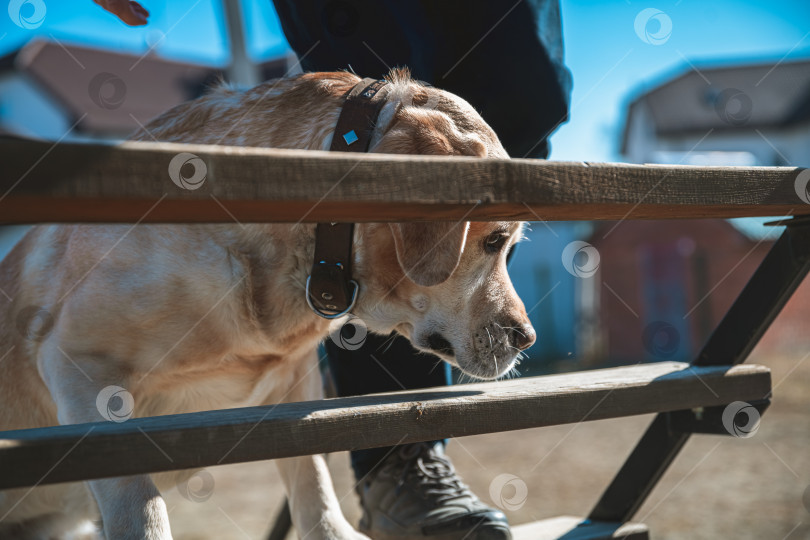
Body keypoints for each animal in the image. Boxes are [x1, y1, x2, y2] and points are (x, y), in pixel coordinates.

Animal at [0, 69, 532, 536]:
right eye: (495, 240)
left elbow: (312, 481)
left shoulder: (296, 379)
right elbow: (137, 498)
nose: (526, 337)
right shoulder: (77, 363)